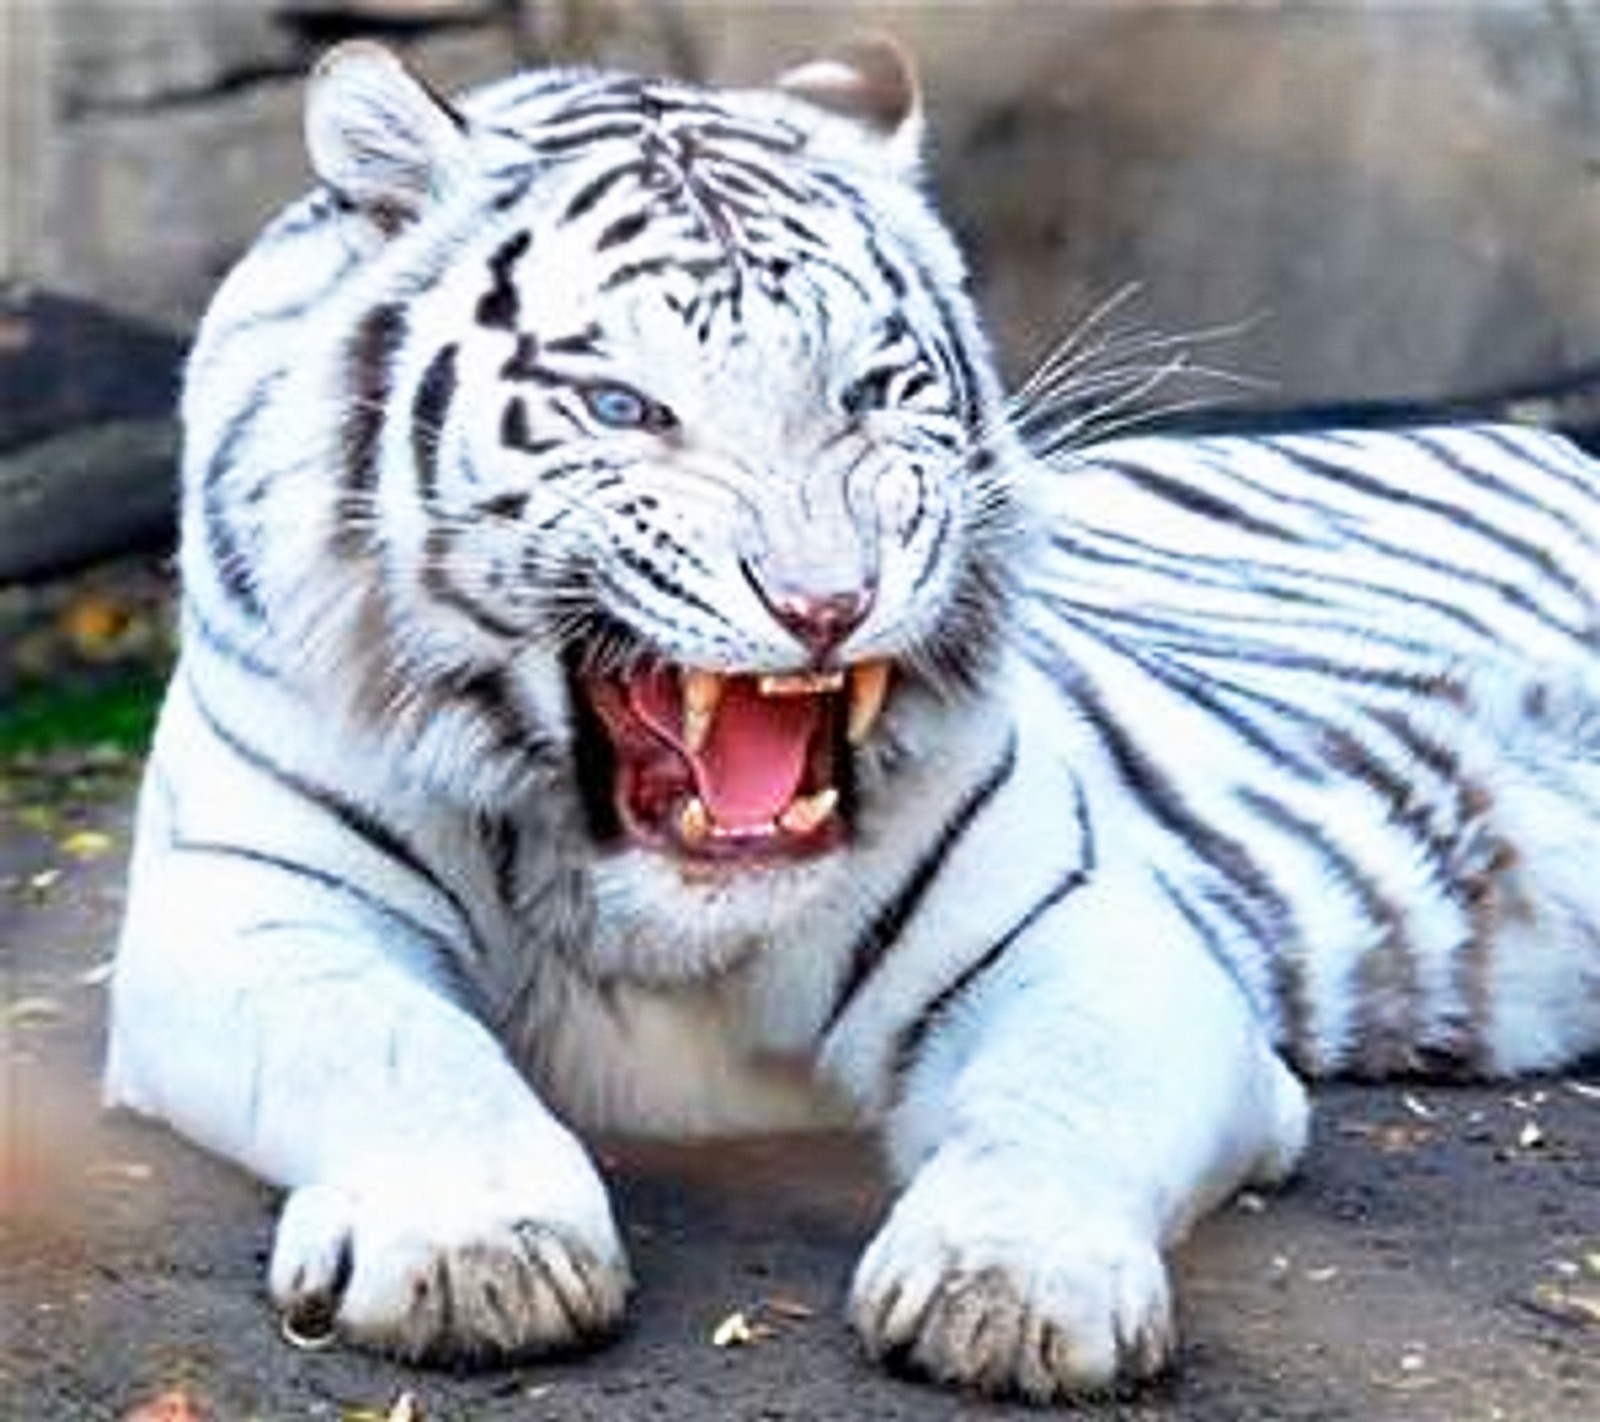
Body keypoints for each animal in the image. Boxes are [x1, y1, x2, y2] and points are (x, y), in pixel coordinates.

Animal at [109, 33, 1600, 1401]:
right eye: (622, 406)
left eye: (872, 393)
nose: (826, 604)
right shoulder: (250, 910)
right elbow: (396, 1048)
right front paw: (482, 1248)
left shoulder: (1087, 936)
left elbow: (1060, 1089)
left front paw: (1010, 1286)